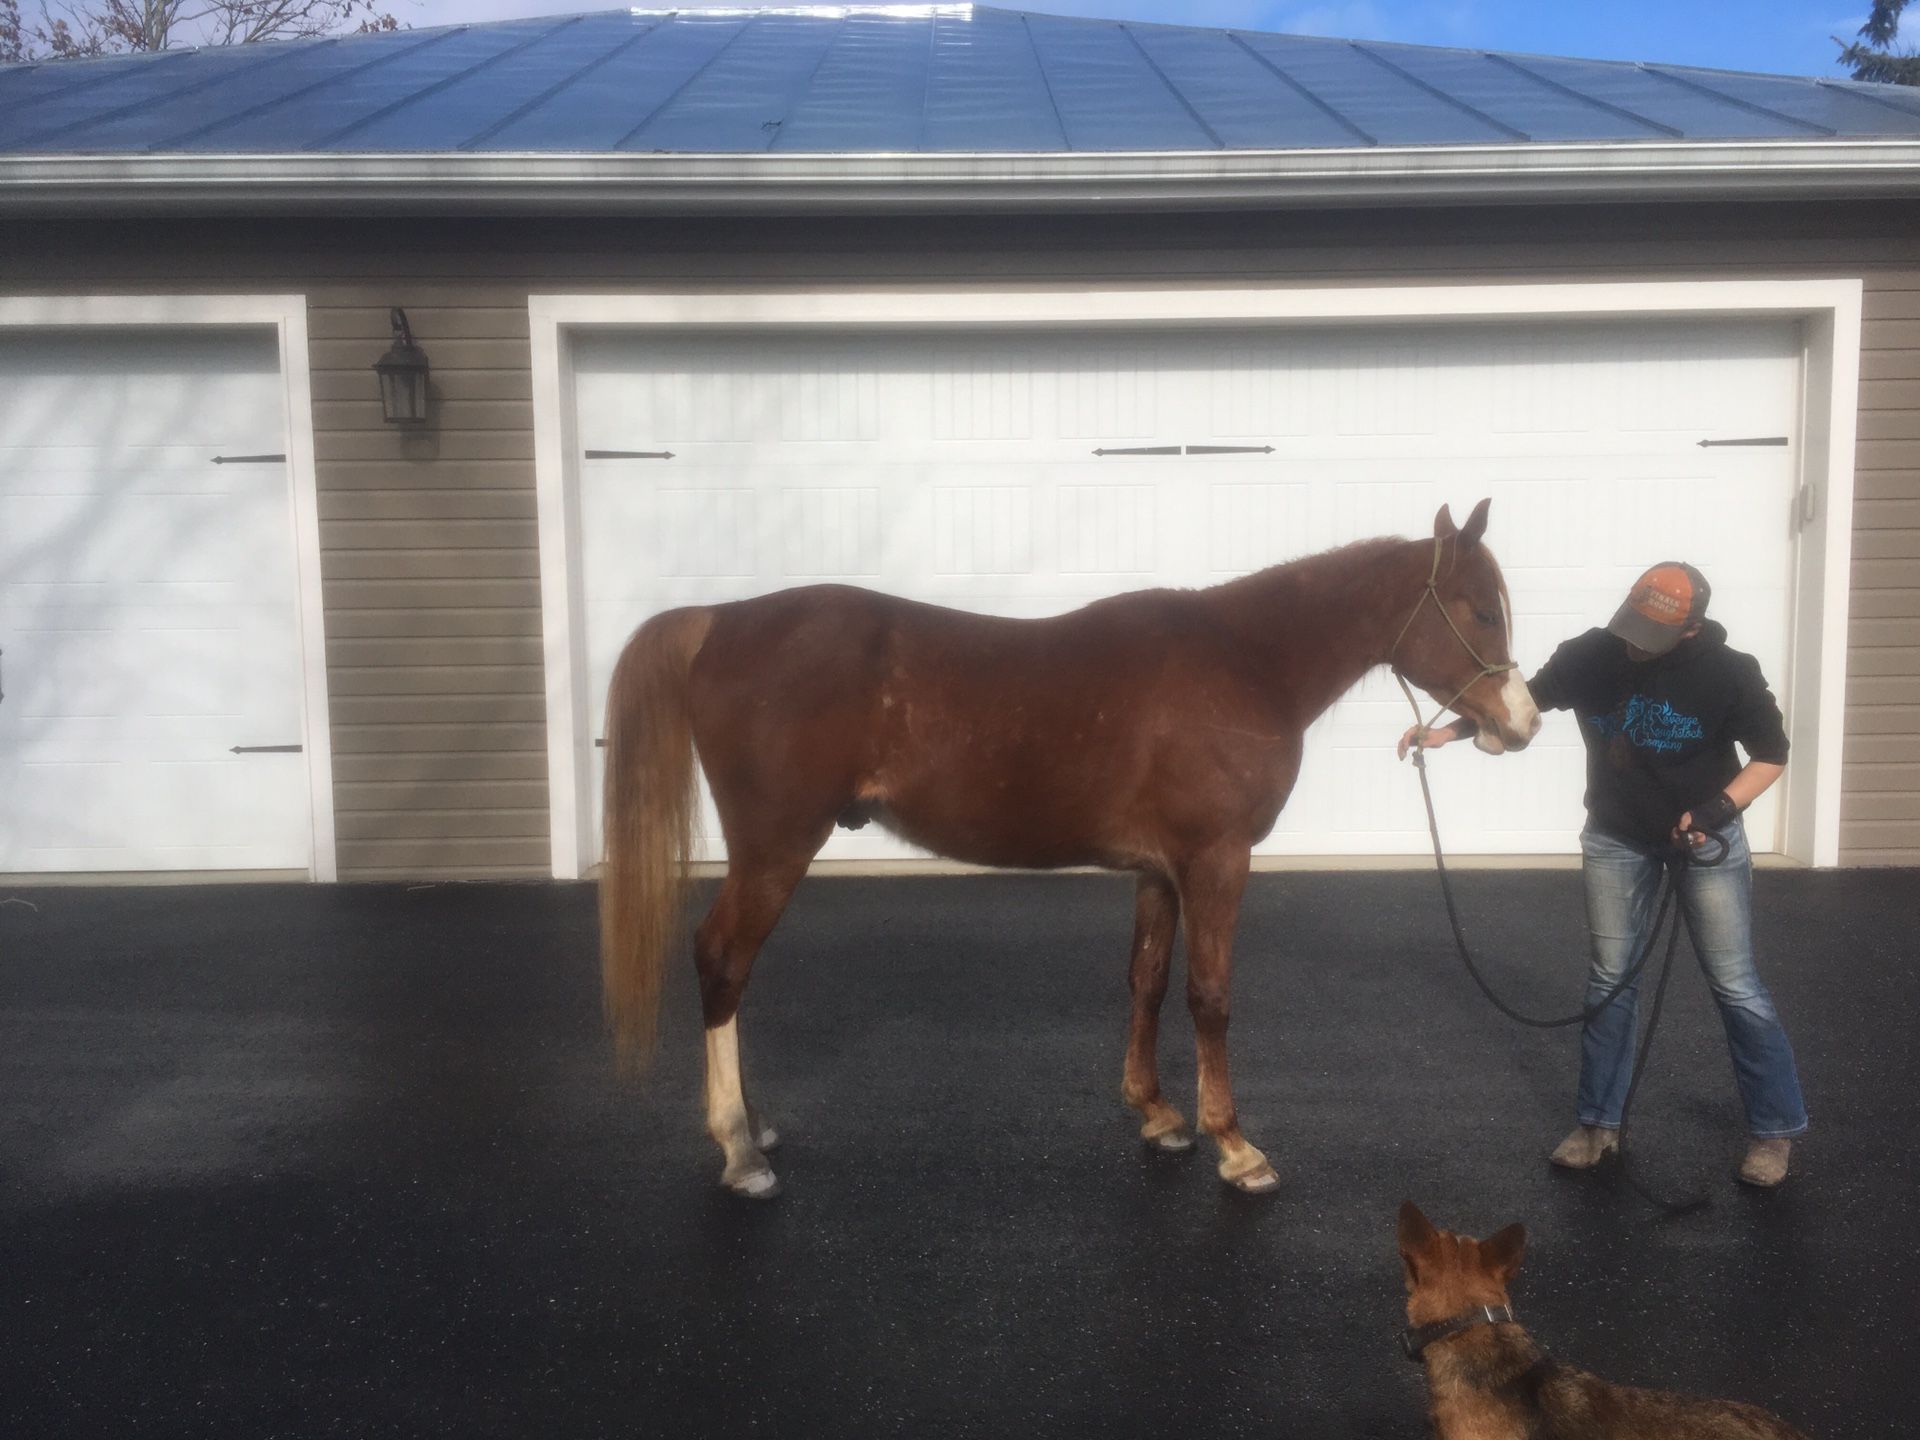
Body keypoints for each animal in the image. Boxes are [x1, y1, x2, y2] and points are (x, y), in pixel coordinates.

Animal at [606, 503, 1536, 1198]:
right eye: (1478, 607)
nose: (1521, 723)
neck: (1247, 661)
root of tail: (720, 622)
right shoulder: (1218, 861)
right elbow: (1209, 997)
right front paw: (1235, 1146)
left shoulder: (1160, 872)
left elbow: (1147, 981)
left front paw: (1159, 1116)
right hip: (774, 848)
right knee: (723, 959)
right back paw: (738, 1148)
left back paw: (753, 1123)